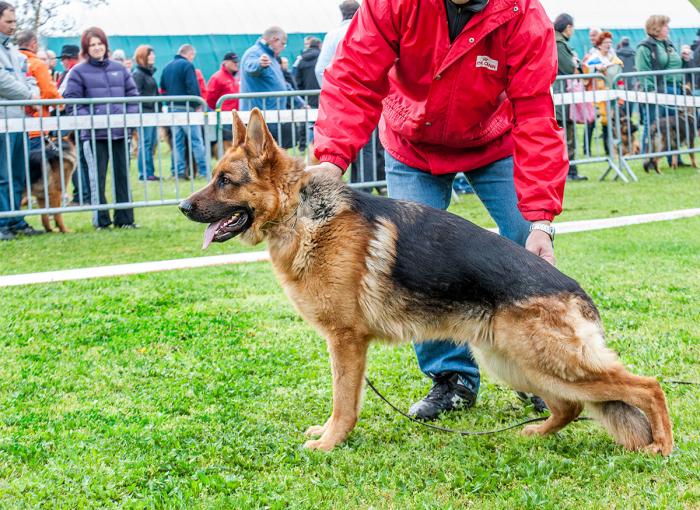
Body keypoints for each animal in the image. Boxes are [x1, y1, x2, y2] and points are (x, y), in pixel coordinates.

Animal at [179, 110, 672, 454]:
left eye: (226, 181)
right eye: (212, 177)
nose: (183, 207)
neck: (301, 214)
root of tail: (577, 294)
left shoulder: (346, 341)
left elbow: (344, 401)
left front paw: (330, 442)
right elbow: (344, 400)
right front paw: (330, 436)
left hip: (547, 361)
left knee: (647, 385)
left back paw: (662, 446)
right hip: (512, 361)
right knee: (570, 406)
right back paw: (535, 433)